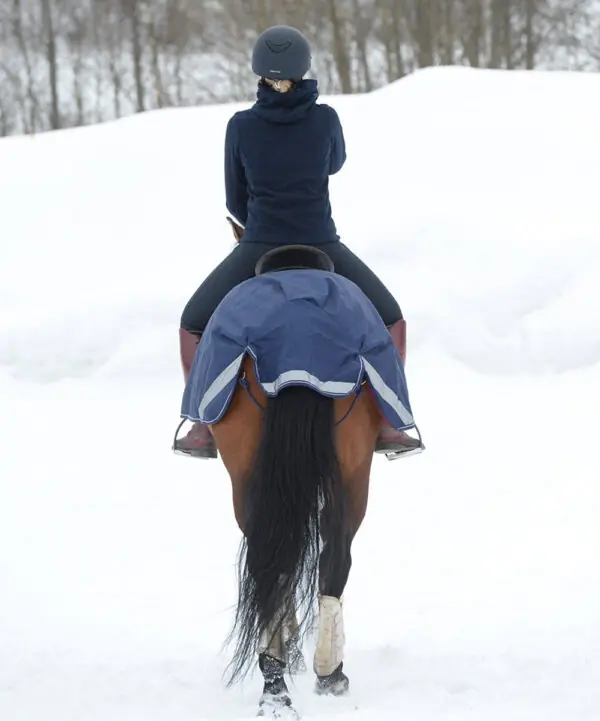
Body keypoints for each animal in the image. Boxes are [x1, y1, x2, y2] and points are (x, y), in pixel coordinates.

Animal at [178, 232, 421, 718]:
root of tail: (298, 336)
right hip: (349, 471)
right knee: (327, 555)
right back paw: (313, 674)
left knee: (286, 559)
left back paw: (290, 680)